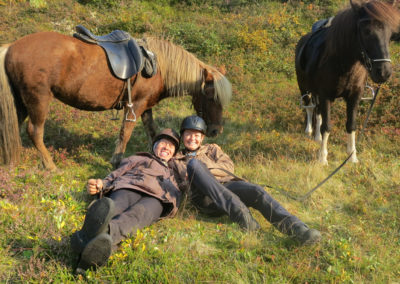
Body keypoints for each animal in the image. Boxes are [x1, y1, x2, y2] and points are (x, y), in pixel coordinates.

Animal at [0, 31, 233, 169]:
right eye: (210, 95)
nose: (216, 131)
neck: (158, 66)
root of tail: (11, 47)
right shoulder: (135, 106)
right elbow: (125, 132)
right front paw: (116, 159)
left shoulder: (146, 107)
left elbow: (152, 131)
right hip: (38, 99)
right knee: (34, 131)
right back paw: (50, 166)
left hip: (21, 103)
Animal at [294, 0, 400, 164]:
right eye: (366, 32)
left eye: (390, 35)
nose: (384, 72)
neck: (343, 64)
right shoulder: (325, 96)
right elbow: (327, 126)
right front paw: (322, 158)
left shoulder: (354, 96)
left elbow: (351, 125)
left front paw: (352, 157)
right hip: (304, 88)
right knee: (310, 108)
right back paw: (309, 131)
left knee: (317, 111)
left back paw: (317, 137)